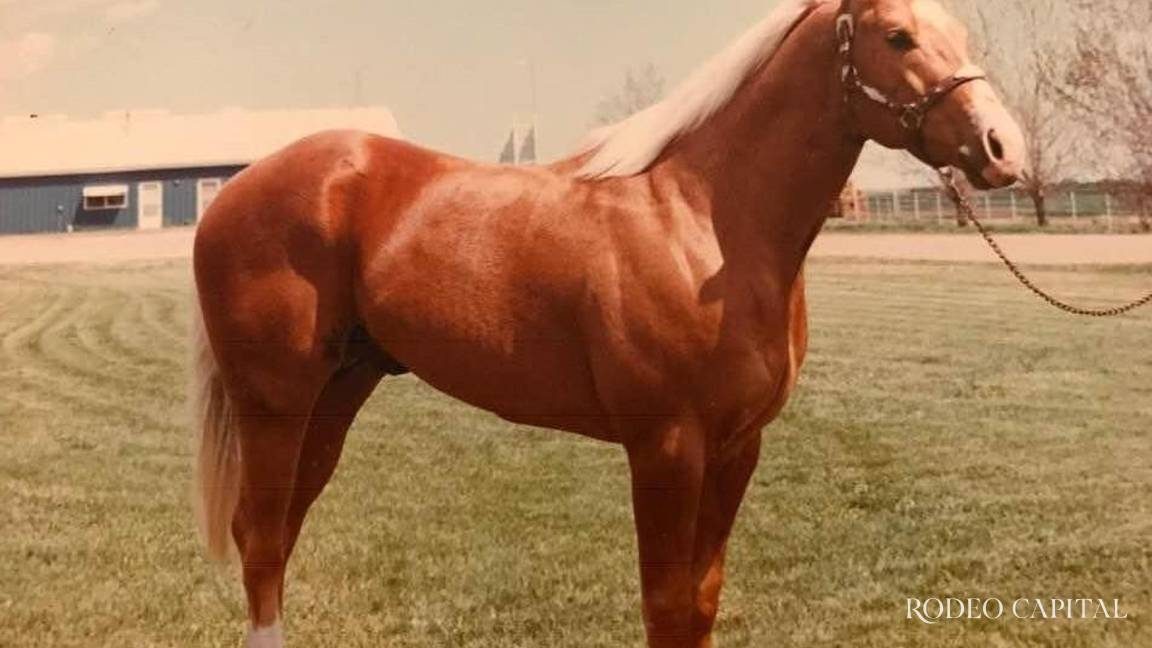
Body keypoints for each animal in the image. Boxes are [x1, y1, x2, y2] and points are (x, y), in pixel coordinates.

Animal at [190, 0, 1025, 645]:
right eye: (898, 36)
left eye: (958, 27)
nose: (1002, 147)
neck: (706, 218)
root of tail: (237, 191)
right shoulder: (666, 449)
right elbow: (665, 606)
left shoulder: (737, 448)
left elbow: (700, 602)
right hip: (275, 404)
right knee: (260, 539)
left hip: (336, 395)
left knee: (277, 533)